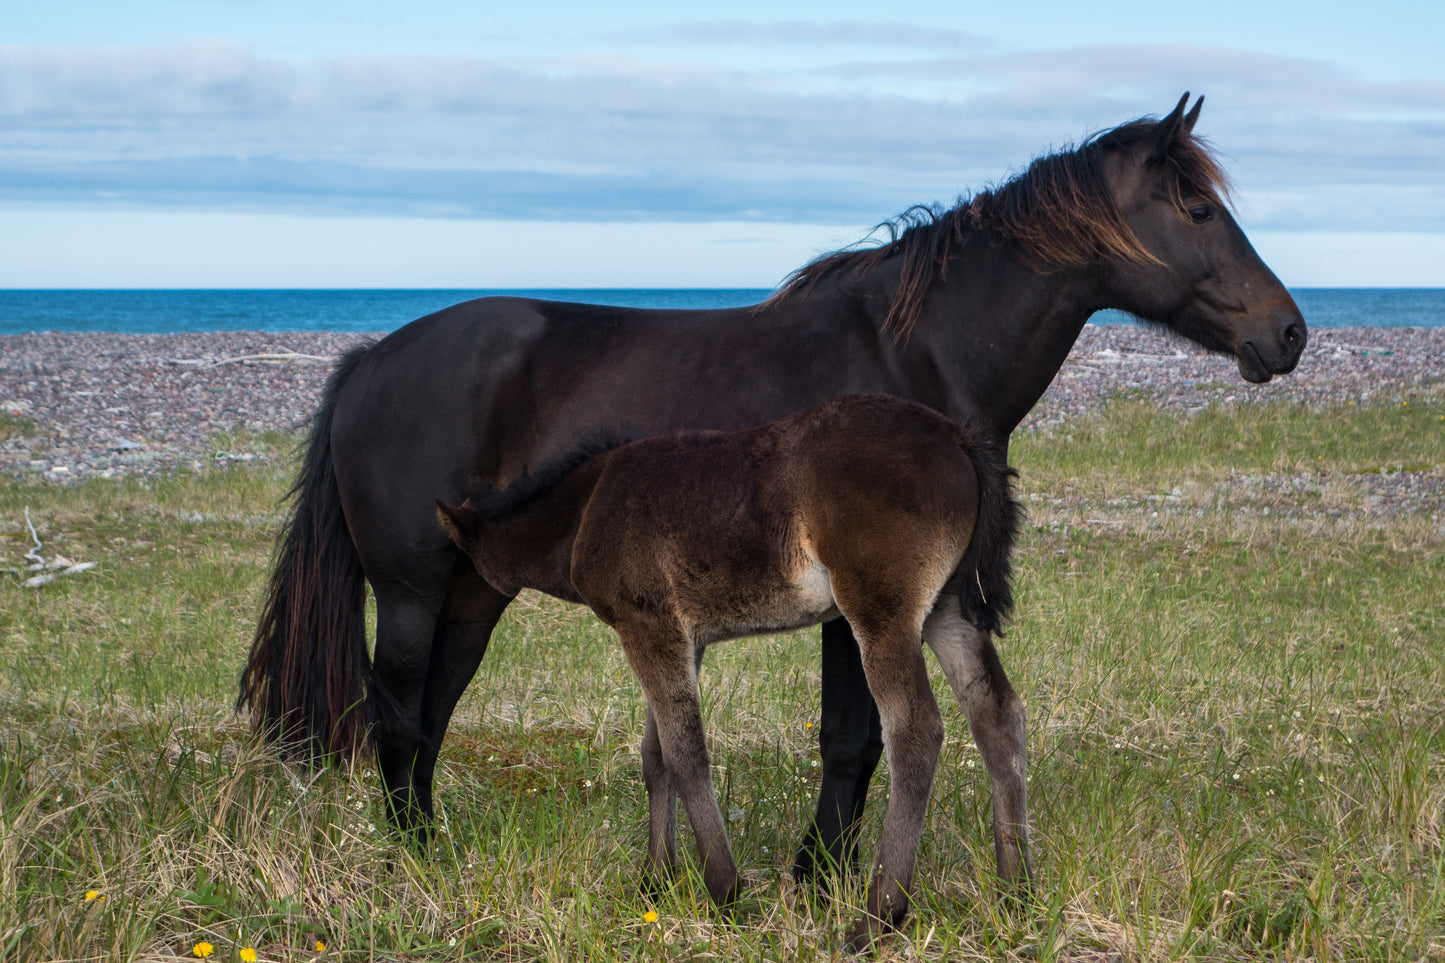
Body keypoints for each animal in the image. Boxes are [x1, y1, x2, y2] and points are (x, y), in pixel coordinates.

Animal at [237, 93, 1306, 887]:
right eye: (1199, 211)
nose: (1288, 332)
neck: (915, 351)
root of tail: (370, 361)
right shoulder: (857, 604)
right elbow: (851, 739)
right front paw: (818, 873)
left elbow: (854, 738)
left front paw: (815, 869)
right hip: (413, 592)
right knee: (399, 716)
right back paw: (408, 863)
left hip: (472, 592)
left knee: (429, 719)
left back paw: (429, 850)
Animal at [435, 394, 1022, 950]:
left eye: (454, 565)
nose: (442, 626)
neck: (585, 509)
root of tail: (957, 437)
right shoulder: (682, 639)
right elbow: (656, 756)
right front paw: (655, 883)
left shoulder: (647, 627)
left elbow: (685, 753)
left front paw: (724, 891)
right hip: (948, 609)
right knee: (998, 717)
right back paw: (1016, 892)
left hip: (883, 612)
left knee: (917, 731)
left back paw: (877, 920)